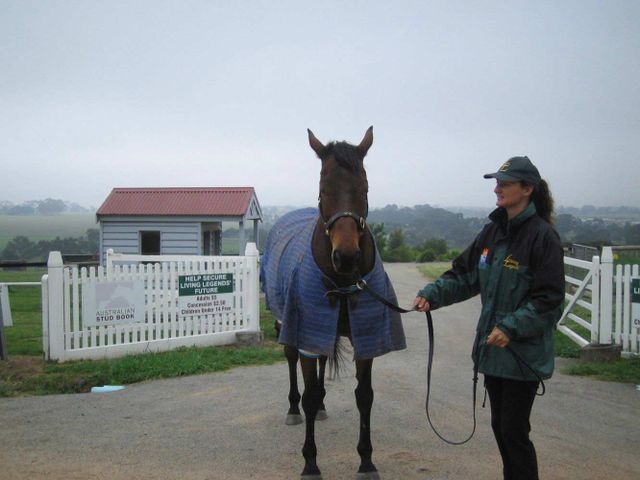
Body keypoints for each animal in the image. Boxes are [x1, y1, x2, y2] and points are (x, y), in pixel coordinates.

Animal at [260, 127, 406, 479]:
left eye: (364, 187)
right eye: (323, 189)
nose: (347, 256)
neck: (342, 282)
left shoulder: (366, 338)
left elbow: (364, 397)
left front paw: (366, 460)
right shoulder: (305, 334)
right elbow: (310, 394)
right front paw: (310, 462)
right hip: (289, 325)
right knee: (291, 363)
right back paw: (293, 408)